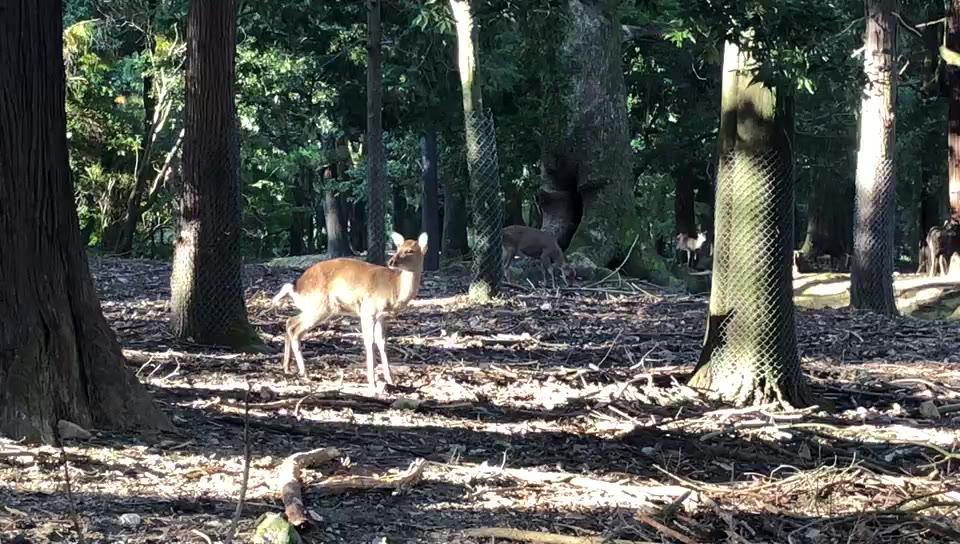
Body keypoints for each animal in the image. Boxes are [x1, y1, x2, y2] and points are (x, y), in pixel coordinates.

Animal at [274, 232, 432, 394]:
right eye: (398, 248)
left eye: (410, 250)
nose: (391, 261)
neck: (394, 289)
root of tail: (295, 287)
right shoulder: (368, 310)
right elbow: (369, 341)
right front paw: (373, 384)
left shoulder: (382, 317)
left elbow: (382, 342)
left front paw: (390, 380)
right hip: (319, 305)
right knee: (295, 329)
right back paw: (303, 372)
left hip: (316, 307)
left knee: (290, 322)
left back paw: (287, 367)